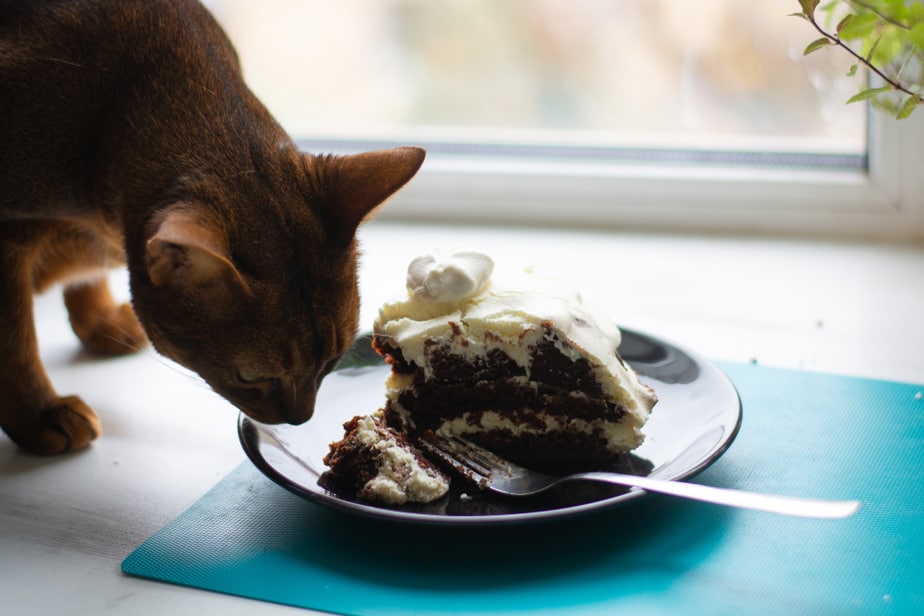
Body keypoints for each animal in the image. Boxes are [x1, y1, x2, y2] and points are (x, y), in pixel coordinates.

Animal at [0, 0, 426, 452]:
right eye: (251, 377)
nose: (301, 419)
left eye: (332, 360)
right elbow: (14, 341)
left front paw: (99, 320)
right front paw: (38, 413)